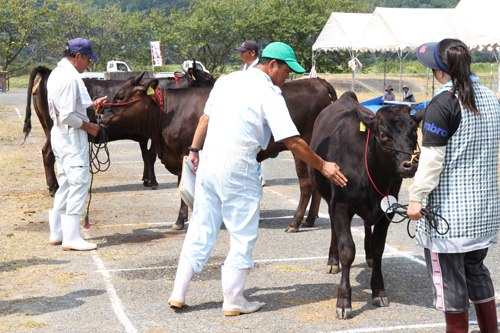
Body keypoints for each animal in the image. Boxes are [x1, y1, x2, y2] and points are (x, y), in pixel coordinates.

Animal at [308, 91, 422, 320]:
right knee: (333, 228)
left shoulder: (388, 209)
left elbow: (378, 247)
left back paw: (367, 255)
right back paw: (332, 261)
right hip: (329, 199)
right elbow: (347, 251)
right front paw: (344, 301)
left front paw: (378, 291)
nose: (409, 164)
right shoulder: (340, 205)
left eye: (414, 131)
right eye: (383, 134)